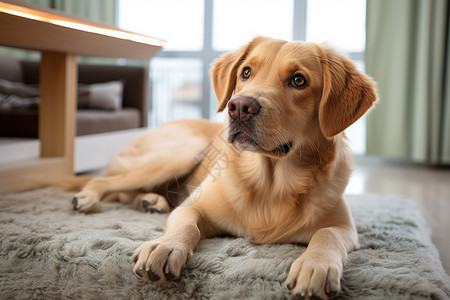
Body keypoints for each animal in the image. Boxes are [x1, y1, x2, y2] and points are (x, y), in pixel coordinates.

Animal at [72, 36, 378, 298]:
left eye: (298, 80)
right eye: (246, 72)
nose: (239, 106)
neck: (270, 183)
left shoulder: (345, 227)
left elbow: (326, 234)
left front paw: (316, 266)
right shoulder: (192, 206)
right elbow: (187, 226)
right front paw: (166, 246)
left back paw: (150, 201)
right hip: (181, 152)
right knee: (104, 182)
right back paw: (88, 198)